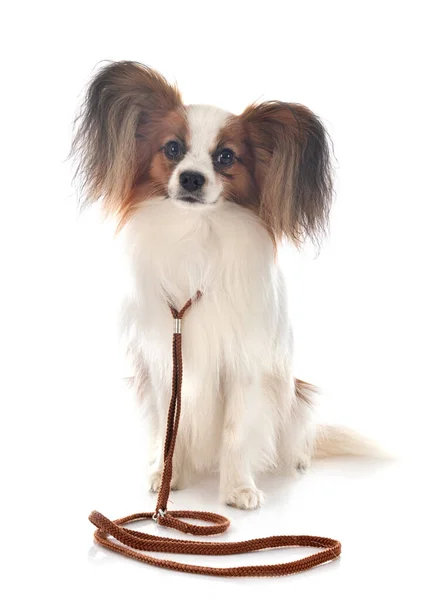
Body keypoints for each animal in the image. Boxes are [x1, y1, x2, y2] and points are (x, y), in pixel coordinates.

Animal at [72, 62, 372, 510]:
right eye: (172, 149)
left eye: (226, 157)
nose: (192, 179)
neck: (196, 233)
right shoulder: (165, 362)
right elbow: (170, 427)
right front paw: (168, 475)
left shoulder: (243, 363)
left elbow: (236, 432)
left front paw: (238, 489)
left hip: (293, 394)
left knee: (298, 436)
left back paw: (297, 459)